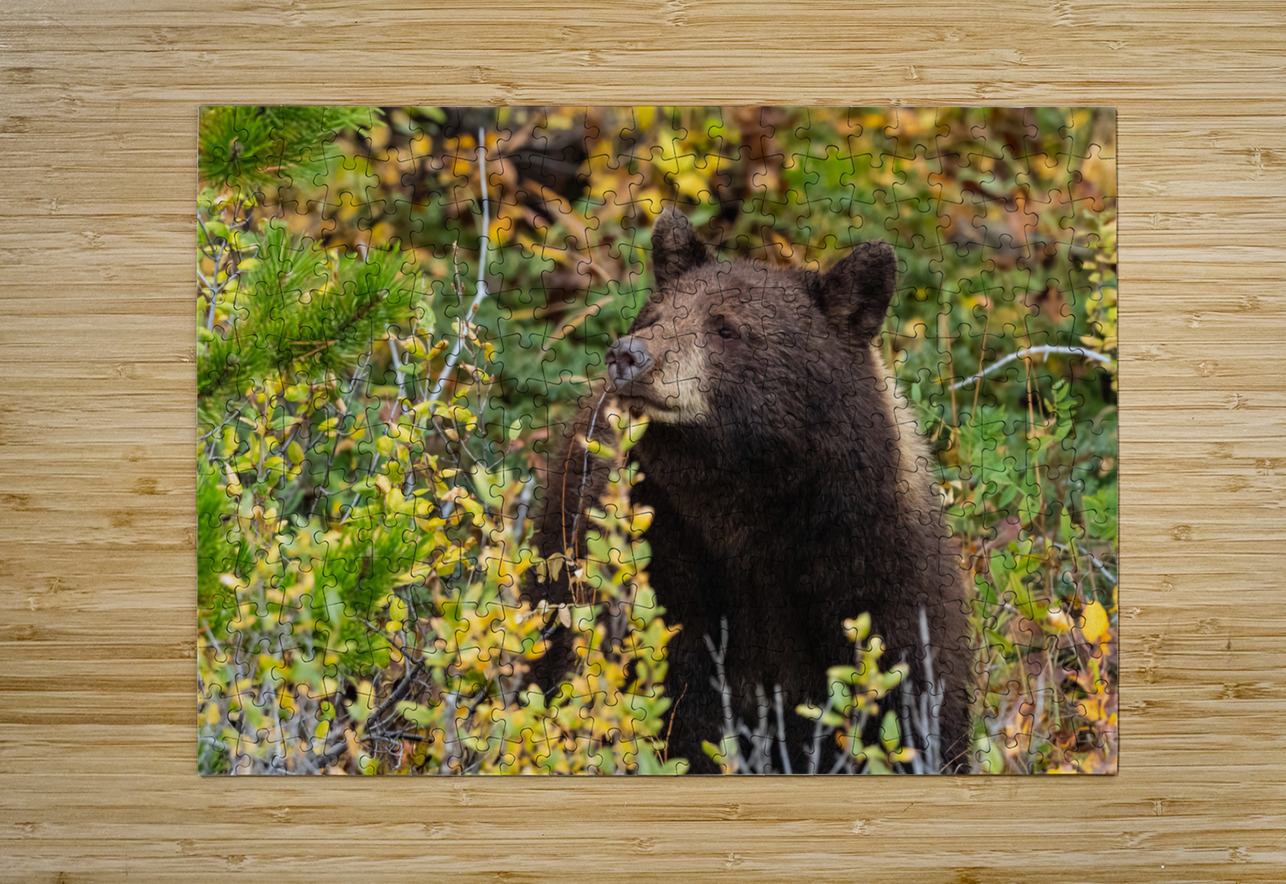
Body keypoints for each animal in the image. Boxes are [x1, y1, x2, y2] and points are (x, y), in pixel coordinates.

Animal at [528, 208, 974, 773]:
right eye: (654, 314)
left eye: (726, 327)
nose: (629, 356)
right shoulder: (662, 561)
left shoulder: (877, 560)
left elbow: (913, 690)